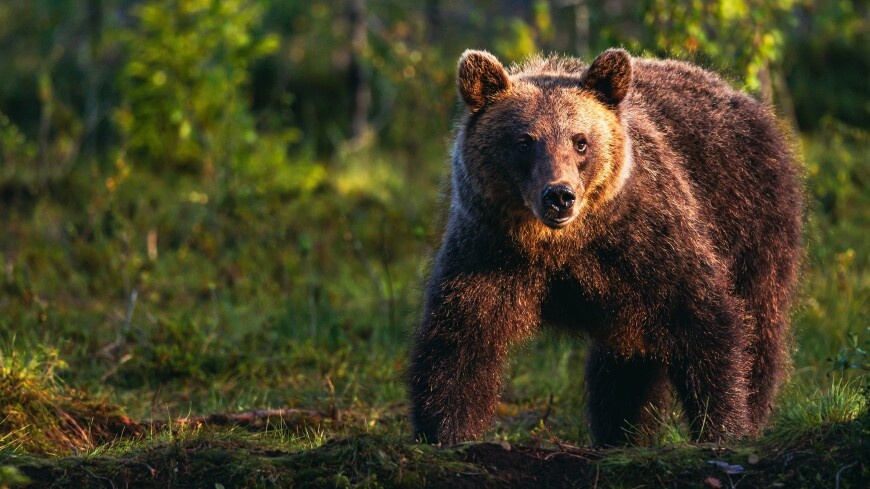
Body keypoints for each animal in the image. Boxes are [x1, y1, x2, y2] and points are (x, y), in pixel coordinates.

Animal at [408, 49, 804, 446]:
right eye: (524, 142)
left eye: (580, 141)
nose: (559, 196)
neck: (560, 246)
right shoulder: (488, 250)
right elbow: (460, 338)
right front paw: (445, 430)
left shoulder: (646, 242)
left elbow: (702, 319)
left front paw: (724, 425)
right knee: (624, 362)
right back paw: (623, 432)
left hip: (752, 222)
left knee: (760, 322)